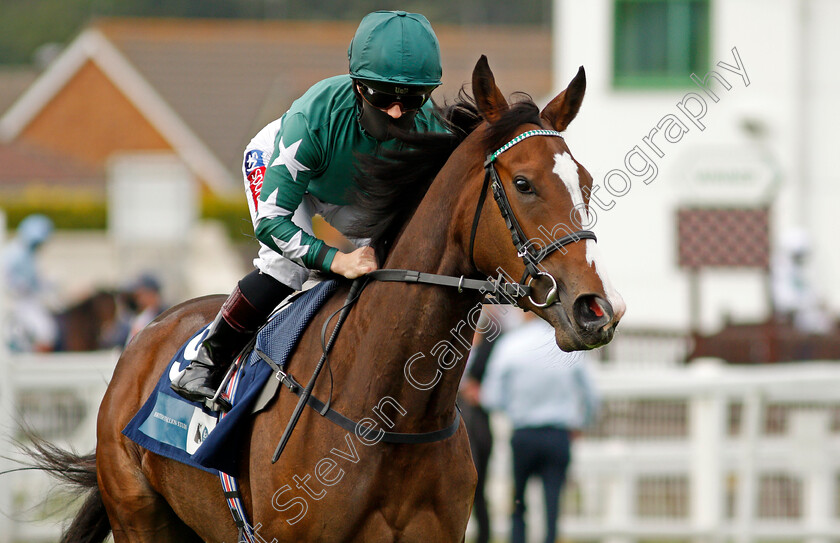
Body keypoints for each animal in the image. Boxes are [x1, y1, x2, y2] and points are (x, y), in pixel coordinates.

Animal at [34, 57, 624, 540]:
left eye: (587, 182)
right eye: (523, 183)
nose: (597, 309)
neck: (390, 417)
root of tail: (147, 336)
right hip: (139, 516)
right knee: (277, 261)